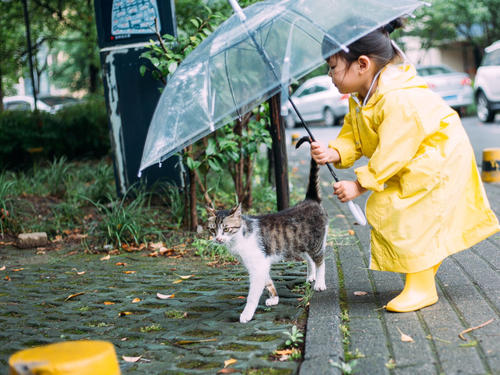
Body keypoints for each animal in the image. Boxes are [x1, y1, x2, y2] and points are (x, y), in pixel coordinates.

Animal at [207, 137, 328, 324]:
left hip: (315, 242)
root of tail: (310, 199)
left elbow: (253, 295)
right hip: (299, 243)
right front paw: (274, 298)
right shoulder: (259, 264)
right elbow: (267, 281)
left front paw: (246, 314)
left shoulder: (257, 265)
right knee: (309, 259)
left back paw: (320, 283)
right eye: (213, 229)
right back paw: (310, 275)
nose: (218, 239)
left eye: (226, 228)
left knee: (320, 260)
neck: (240, 238)